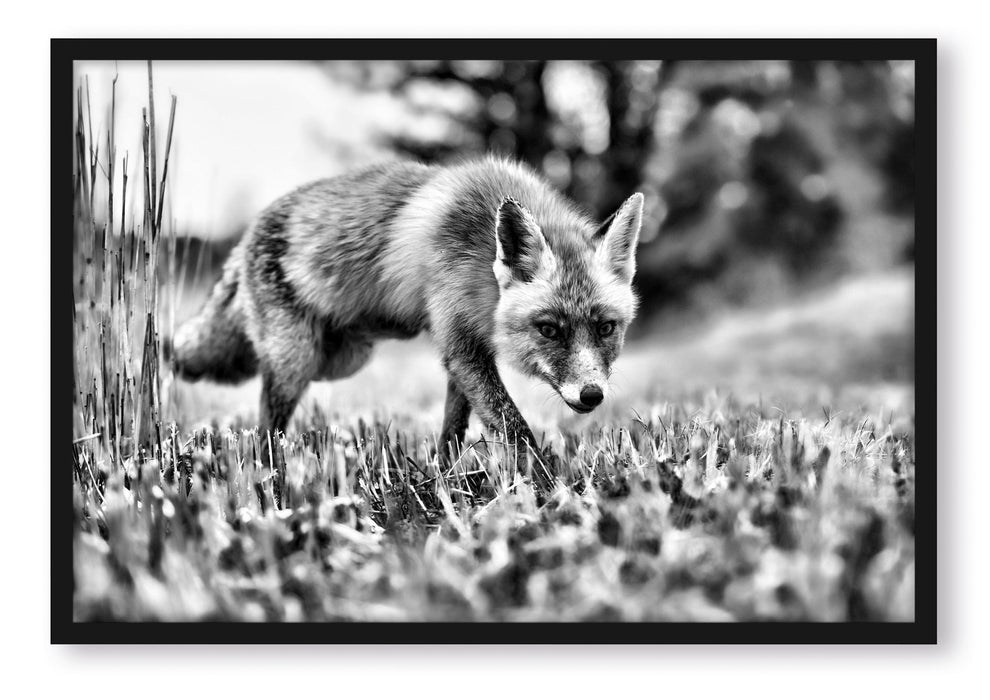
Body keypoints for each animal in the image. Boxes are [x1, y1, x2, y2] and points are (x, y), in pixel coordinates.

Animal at [172, 156, 643, 465]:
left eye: (606, 328)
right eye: (548, 329)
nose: (591, 395)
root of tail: (248, 232)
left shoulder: (463, 350)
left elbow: (454, 428)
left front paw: (445, 478)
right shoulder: (461, 343)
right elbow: (514, 428)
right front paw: (546, 487)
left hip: (339, 359)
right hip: (298, 362)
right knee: (265, 429)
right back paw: (269, 474)